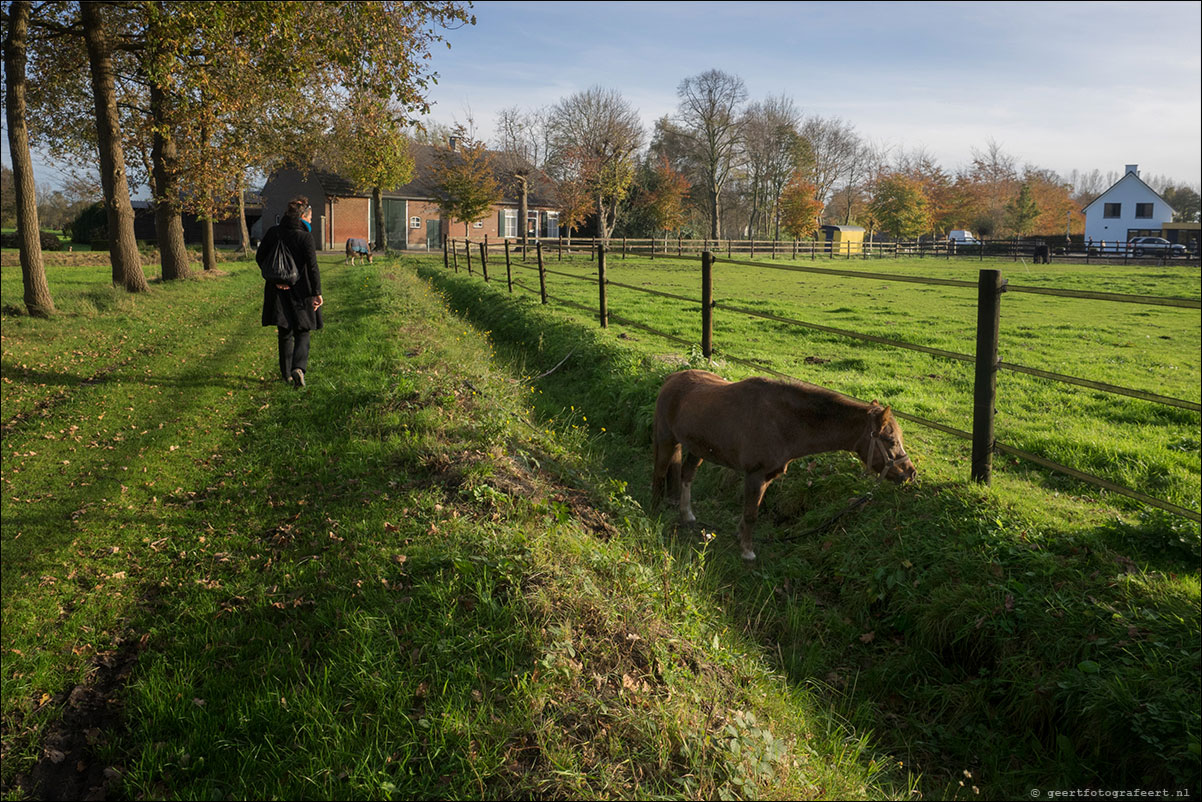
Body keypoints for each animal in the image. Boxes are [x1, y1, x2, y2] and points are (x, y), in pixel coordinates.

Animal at [653, 367, 913, 557]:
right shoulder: (755, 475)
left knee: (686, 476)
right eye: (891, 440)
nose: (910, 472)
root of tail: (672, 378)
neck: (783, 422)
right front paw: (747, 551)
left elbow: (752, 510)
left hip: (697, 449)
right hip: (666, 439)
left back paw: (687, 515)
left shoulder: (767, 477)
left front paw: (740, 537)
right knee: (659, 473)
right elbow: (751, 514)